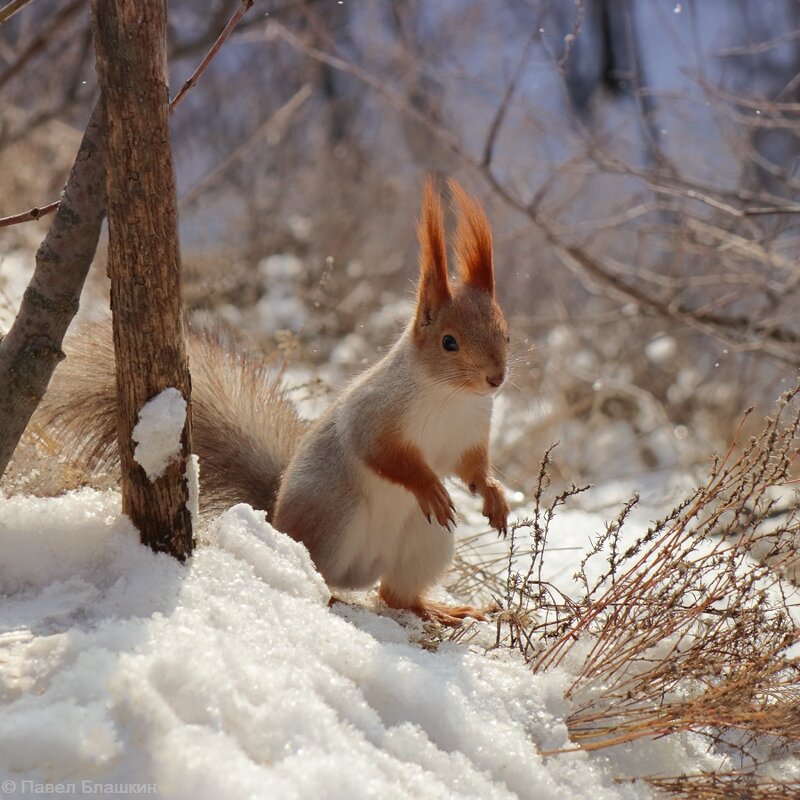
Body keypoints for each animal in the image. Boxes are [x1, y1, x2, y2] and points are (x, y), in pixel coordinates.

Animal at [37, 177, 510, 624]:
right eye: (449, 342)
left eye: (505, 332)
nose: (496, 378)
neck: (451, 397)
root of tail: (275, 522)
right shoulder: (376, 413)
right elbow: (383, 454)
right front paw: (428, 485)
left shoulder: (472, 432)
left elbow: (471, 467)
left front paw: (493, 496)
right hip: (336, 518)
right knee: (321, 576)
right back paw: (324, 592)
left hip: (426, 542)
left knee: (395, 595)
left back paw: (438, 609)